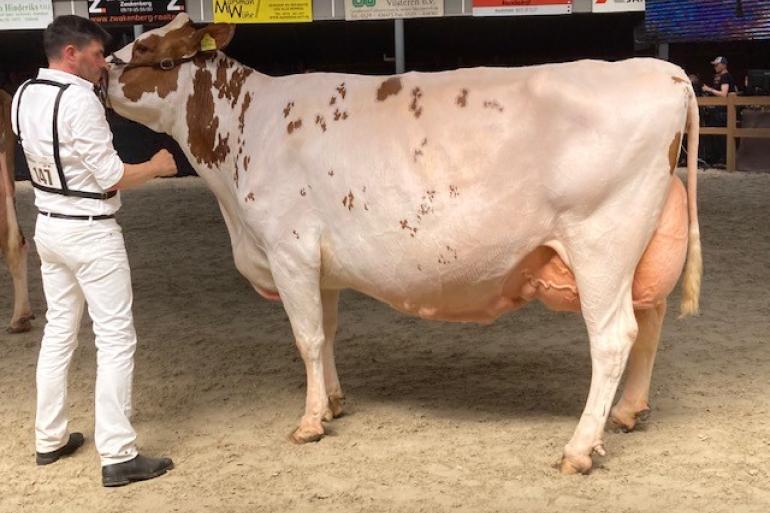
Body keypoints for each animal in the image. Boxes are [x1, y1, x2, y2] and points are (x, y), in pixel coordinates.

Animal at [105, 14, 700, 474]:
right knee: (651, 319)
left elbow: (307, 339)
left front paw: (308, 423)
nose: (105, 67)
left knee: (614, 336)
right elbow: (328, 333)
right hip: (641, 242)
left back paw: (579, 448)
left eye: (150, 48)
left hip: (601, 241)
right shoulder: (320, 264)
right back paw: (628, 413)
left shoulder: (289, 249)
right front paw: (333, 404)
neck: (247, 132)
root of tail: (663, 71)